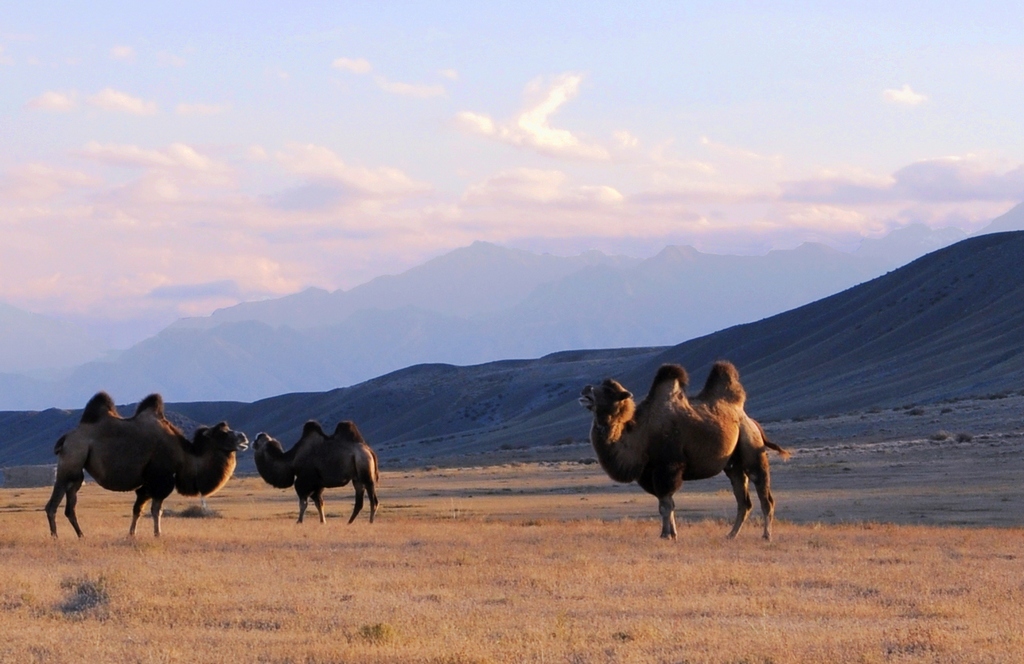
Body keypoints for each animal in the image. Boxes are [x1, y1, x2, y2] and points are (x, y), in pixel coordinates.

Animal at [46, 391, 249, 536]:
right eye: (223, 433)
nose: (244, 437)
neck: (184, 456)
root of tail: (66, 438)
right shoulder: (161, 480)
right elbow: (156, 510)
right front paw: (157, 534)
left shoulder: (146, 484)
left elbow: (138, 509)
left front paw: (132, 534)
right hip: (72, 459)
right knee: (53, 503)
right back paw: (56, 537)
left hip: (77, 474)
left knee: (70, 505)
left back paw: (81, 535)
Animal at [251, 420, 380, 524]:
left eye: (257, 440)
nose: (251, 442)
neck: (291, 461)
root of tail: (369, 451)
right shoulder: (317, 484)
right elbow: (319, 503)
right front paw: (323, 521)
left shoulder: (304, 482)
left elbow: (303, 503)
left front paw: (299, 521)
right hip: (357, 478)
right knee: (359, 502)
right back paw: (349, 522)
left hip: (366, 474)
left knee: (373, 500)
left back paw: (370, 522)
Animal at [581, 362, 786, 541]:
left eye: (608, 391)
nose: (586, 390)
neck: (641, 433)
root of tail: (752, 422)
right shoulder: (651, 473)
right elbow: (667, 504)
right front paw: (671, 534)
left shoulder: (668, 467)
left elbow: (665, 505)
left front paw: (666, 535)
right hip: (733, 466)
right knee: (743, 501)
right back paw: (731, 535)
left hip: (752, 449)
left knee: (765, 496)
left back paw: (766, 536)